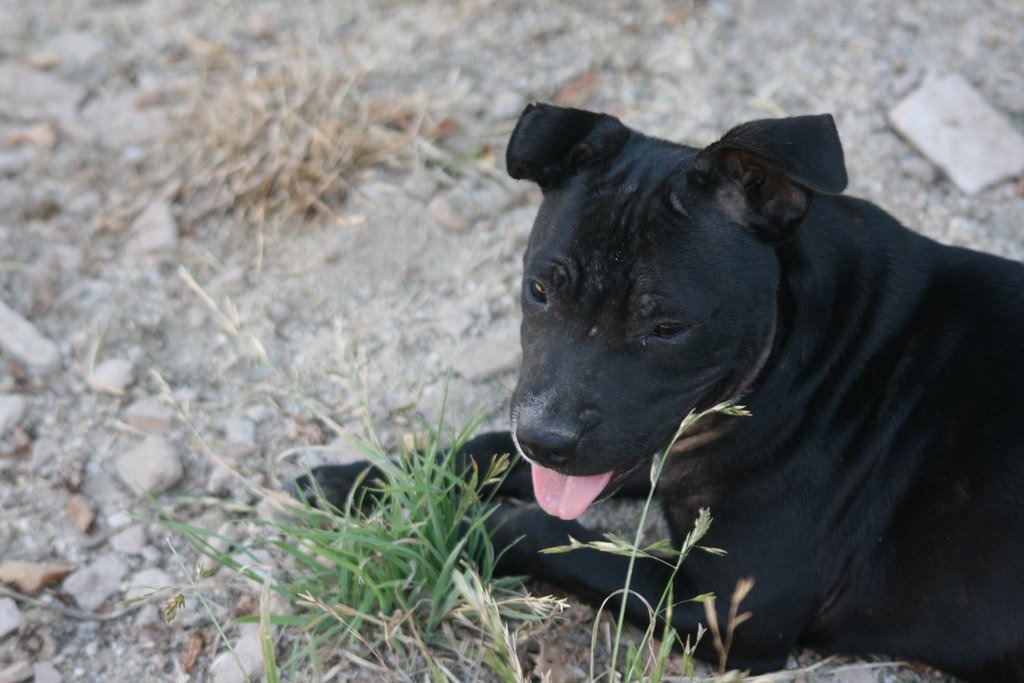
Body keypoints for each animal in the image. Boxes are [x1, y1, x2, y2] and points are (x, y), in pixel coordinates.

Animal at [301, 104, 1024, 681]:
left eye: (667, 328)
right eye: (539, 289)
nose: (546, 439)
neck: (801, 351)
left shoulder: (728, 609)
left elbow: (555, 538)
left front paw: (446, 527)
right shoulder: (632, 449)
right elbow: (483, 450)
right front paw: (363, 479)